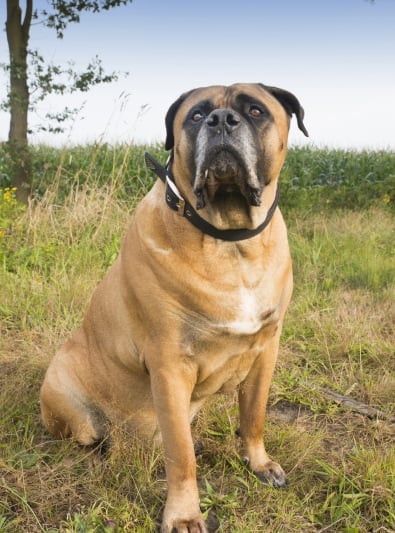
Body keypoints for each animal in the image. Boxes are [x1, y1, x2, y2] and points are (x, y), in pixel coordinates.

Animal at [40, 83, 310, 532]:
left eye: (255, 111)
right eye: (197, 116)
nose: (222, 121)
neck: (229, 239)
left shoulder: (265, 348)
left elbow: (253, 415)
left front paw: (259, 463)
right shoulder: (169, 363)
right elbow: (179, 454)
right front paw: (184, 514)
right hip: (68, 400)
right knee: (100, 436)